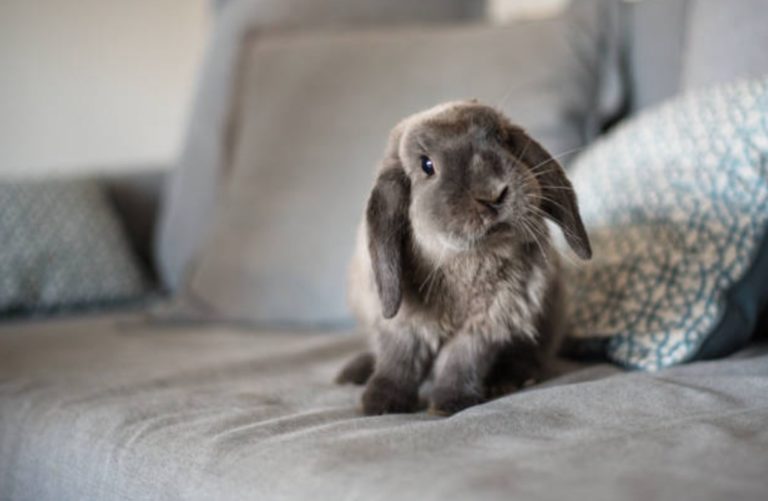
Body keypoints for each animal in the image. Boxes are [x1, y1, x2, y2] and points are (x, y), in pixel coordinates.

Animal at [336, 100, 592, 416]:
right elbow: (399, 360)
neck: (465, 261)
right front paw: (380, 404)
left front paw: (450, 403)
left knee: (531, 356)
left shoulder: (486, 324)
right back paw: (353, 373)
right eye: (426, 165)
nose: (493, 194)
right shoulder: (404, 324)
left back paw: (510, 380)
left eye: (503, 139)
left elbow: (460, 360)